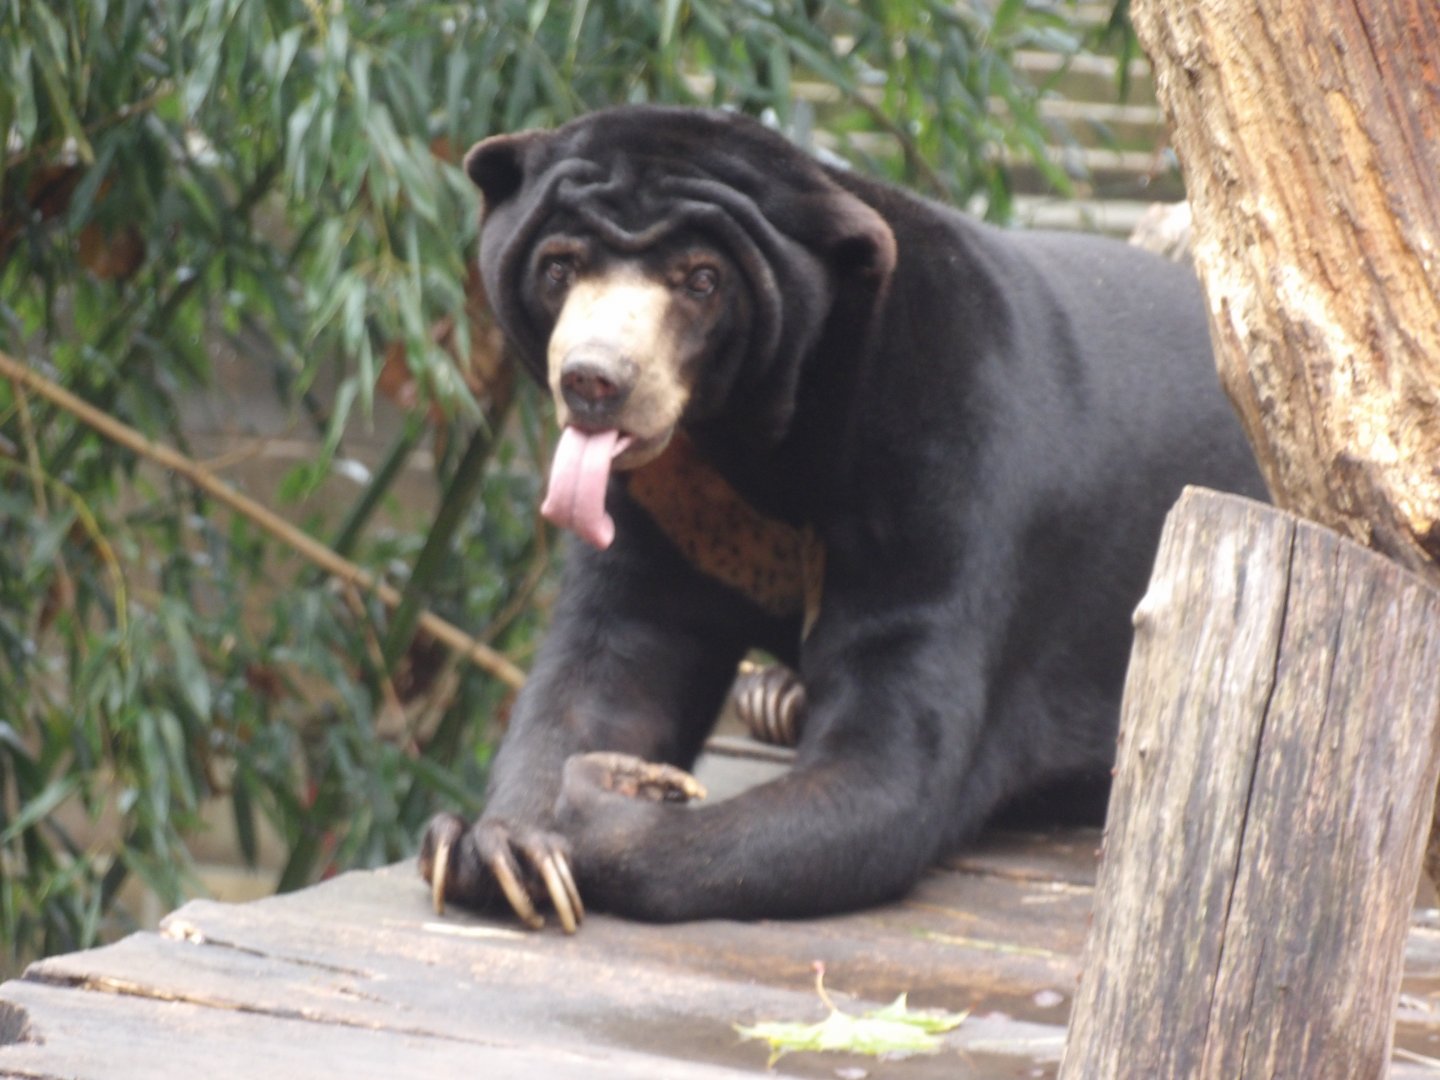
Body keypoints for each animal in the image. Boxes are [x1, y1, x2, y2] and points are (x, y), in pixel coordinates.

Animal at [419, 105, 1266, 932]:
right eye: (559, 267)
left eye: (702, 281)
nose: (595, 381)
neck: (744, 437)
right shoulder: (659, 509)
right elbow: (606, 669)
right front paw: (498, 849)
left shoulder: (949, 469)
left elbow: (885, 778)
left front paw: (602, 800)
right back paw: (773, 698)